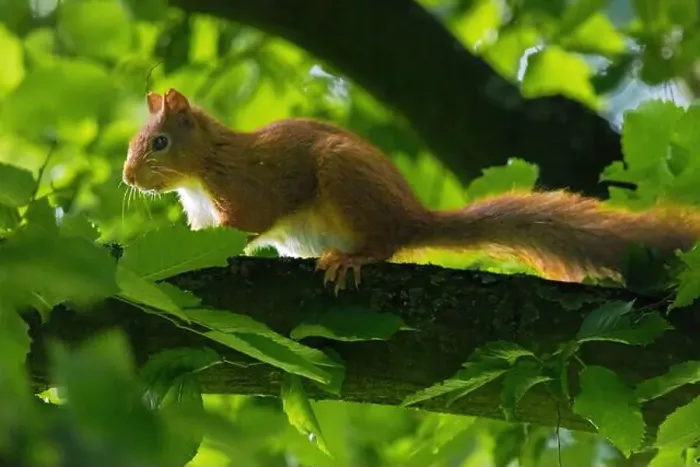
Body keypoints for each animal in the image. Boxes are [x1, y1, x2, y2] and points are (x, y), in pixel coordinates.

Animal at [123, 88, 700, 292]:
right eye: (134, 142)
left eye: (159, 143)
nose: (127, 177)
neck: (202, 169)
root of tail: (412, 215)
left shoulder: (246, 185)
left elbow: (248, 222)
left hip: (346, 181)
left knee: (385, 244)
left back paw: (353, 258)